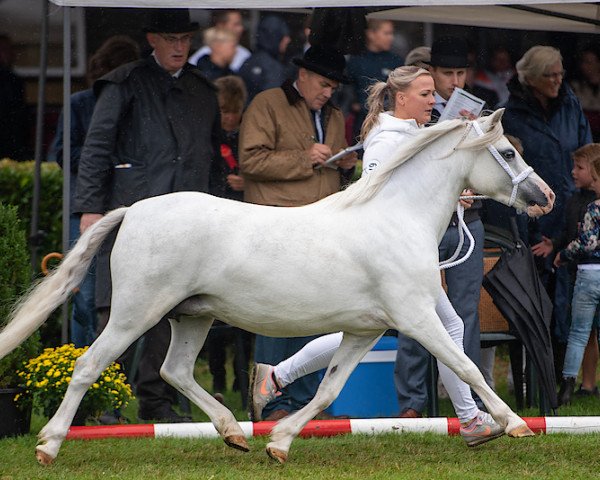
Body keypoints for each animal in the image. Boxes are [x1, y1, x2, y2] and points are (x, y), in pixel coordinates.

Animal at [0, 109, 552, 464]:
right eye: (507, 151)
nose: (544, 197)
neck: (396, 217)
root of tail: (133, 210)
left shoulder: (366, 331)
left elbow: (329, 389)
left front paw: (278, 443)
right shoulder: (416, 318)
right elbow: (467, 365)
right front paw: (515, 425)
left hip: (193, 316)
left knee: (175, 370)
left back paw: (234, 434)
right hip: (136, 313)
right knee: (89, 366)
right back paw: (48, 446)